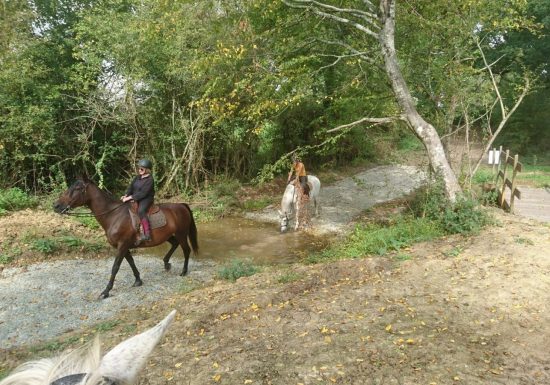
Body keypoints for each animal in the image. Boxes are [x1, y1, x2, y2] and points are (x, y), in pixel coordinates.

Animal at [52, 178, 199, 298]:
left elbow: (115, 267)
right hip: (168, 235)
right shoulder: (124, 246)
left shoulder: (122, 245)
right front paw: (138, 280)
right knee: (174, 244)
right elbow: (131, 262)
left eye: (77, 188)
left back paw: (183, 271)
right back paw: (166, 263)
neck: (113, 215)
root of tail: (182, 205)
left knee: (186, 250)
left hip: (181, 234)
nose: (56, 205)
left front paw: (106, 291)